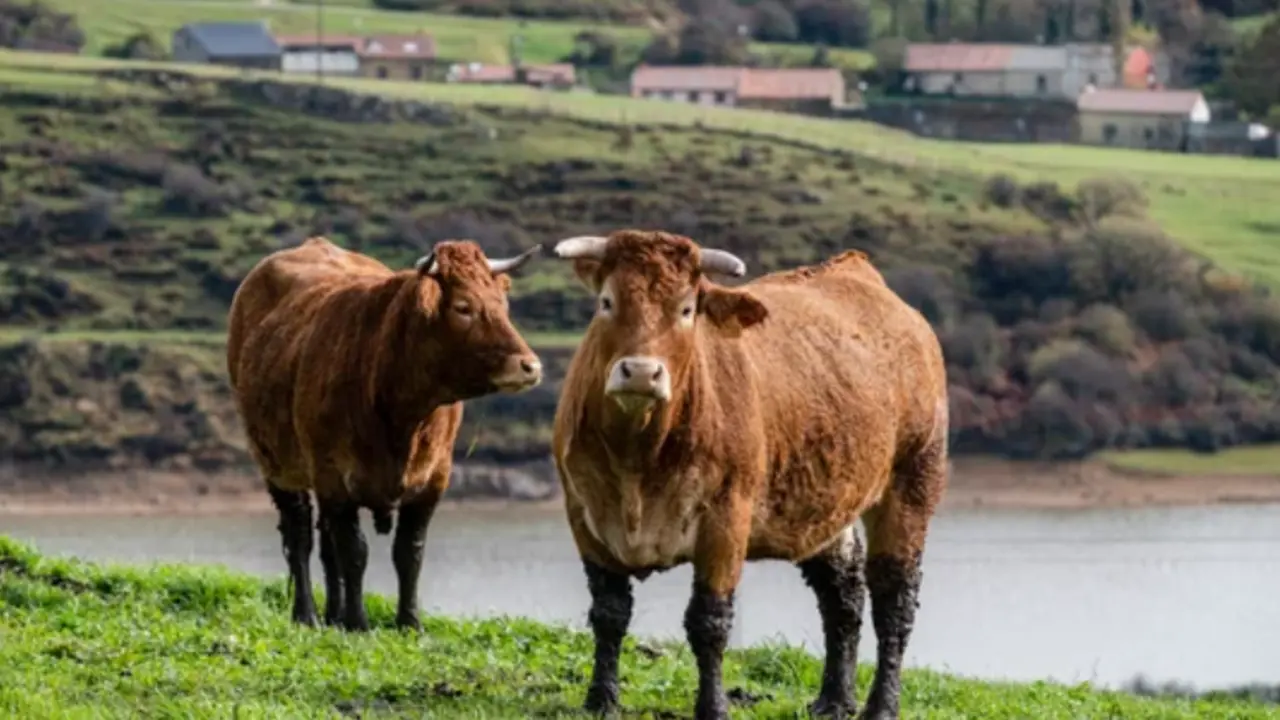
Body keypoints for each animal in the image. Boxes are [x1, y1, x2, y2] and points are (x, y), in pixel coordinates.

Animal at [226, 236, 544, 632]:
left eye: (503, 304)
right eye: (463, 307)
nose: (530, 365)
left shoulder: (434, 477)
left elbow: (408, 552)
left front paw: (409, 622)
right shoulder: (333, 474)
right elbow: (354, 551)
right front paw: (358, 622)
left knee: (326, 543)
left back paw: (333, 615)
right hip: (277, 464)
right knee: (299, 536)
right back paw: (308, 615)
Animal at [549, 230, 948, 720]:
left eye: (687, 309)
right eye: (607, 302)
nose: (641, 372)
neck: (636, 458)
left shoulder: (726, 518)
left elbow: (708, 621)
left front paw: (713, 707)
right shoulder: (583, 512)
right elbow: (609, 613)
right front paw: (600, 700)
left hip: (913, 479)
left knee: (894, 598)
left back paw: (880, 706)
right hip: (825, 502)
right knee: (842, 591)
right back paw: (834, 699)